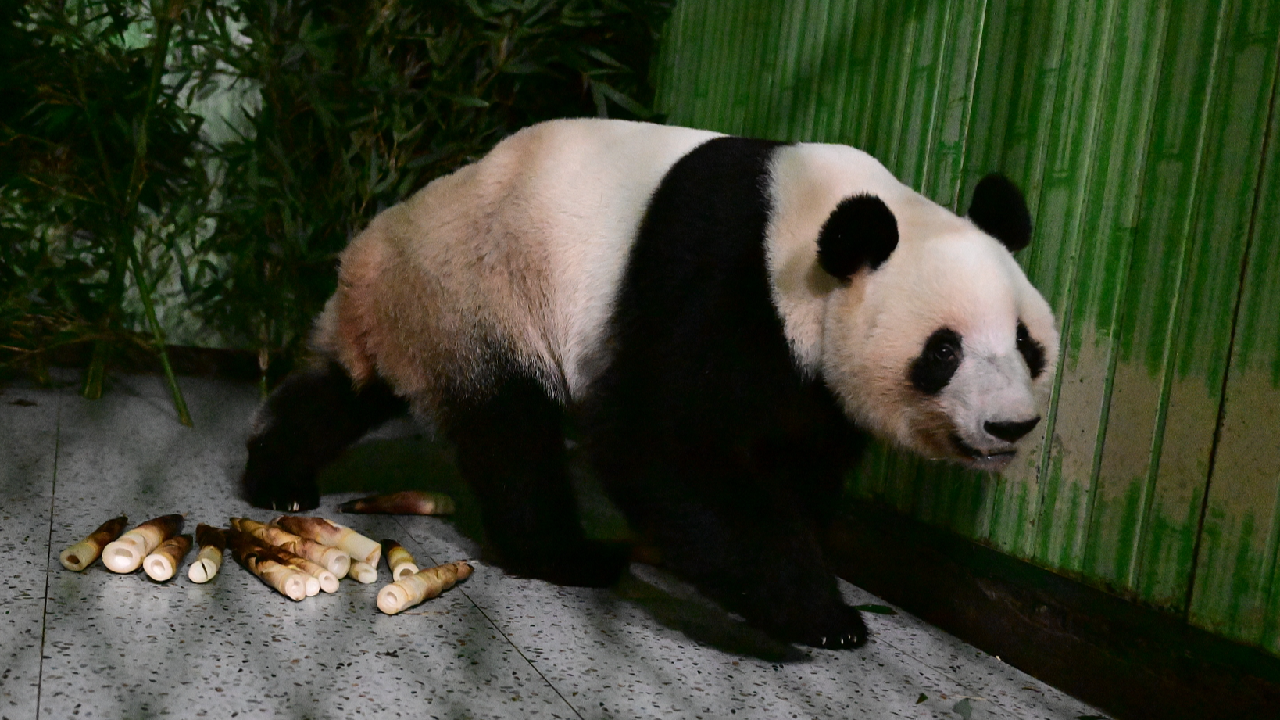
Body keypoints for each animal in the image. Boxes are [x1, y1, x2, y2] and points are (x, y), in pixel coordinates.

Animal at [242, 118, 1059, 650]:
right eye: (944, 350)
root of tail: (369, 252)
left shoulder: (812, 377)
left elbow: (798, 457)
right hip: (478, 295)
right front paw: (820, 615)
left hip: (418, 316)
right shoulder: (721, 272)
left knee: (343, 392)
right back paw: (570, 556)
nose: (1010, 426)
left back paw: (277, 476)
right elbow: (659, 437)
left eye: (1027, 343)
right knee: (513, 436)